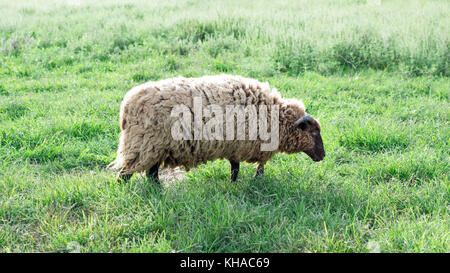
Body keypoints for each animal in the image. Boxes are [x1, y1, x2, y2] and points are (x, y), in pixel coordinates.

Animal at [109, 73, 326, 182]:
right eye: (314, 132)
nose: (323, 156)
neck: (275, 117)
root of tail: (126, 108)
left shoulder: (234, 146)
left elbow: (238, 167)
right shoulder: (239, 145)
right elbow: (238, 168)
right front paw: (240, 182)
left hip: (156, 148)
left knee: (151, 174)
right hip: (144, 145)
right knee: (125, 174)